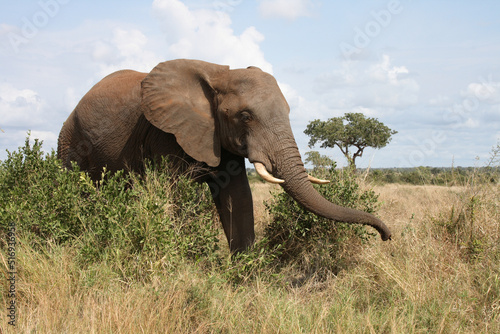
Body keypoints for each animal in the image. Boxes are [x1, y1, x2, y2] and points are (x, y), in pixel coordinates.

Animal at [56, 58, 388, 252]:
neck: (218, 73)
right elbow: (174, 195)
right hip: (70, 144)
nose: (386, 237)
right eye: (245, 116)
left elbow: (237, 196)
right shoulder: (165, 133)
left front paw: (244, 274)